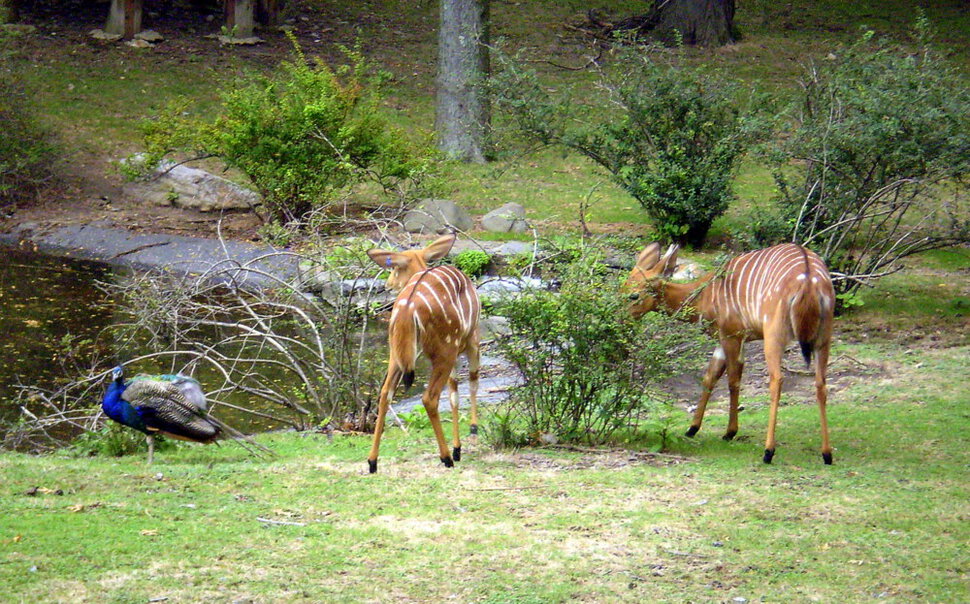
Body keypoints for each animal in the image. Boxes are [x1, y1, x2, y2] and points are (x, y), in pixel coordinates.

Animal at [364, 231, 480, 472]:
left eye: (394, 269)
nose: (387, 285)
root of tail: (407, 309)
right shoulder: (472, 339)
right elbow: (471, 382)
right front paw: (470, 434)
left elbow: (454, 392)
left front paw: (459, 447)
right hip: (446, 350)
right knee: (429, 397)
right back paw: (446, 458)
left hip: (397, 355)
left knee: (385, 394)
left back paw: (372, 462)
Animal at [624, 243, 836, 464]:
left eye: (634, 295)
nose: (619, 317)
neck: (704, 296)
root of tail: (808, 282)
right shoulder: (723, 340)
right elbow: (710, 377)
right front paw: (692, 428)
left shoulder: (732, 334)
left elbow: (733, 380)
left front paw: (729, 432)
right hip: (823, 336)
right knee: (820, 383)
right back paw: (826, 454)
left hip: (773, 335)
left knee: (777, 380)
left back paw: (768, 451)